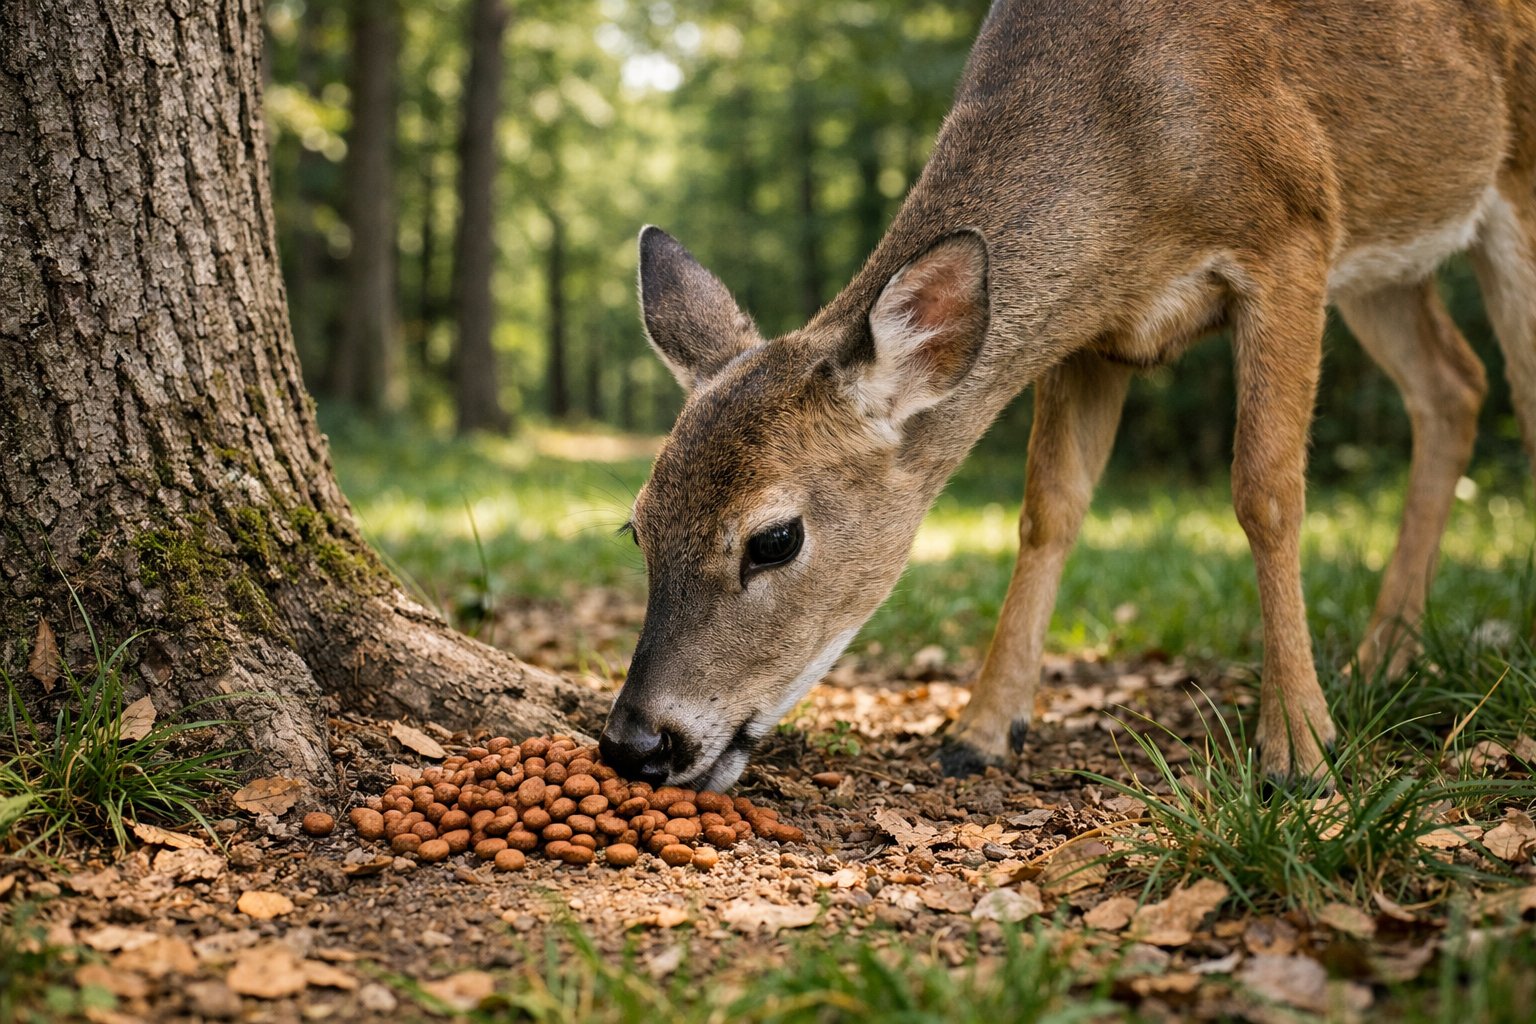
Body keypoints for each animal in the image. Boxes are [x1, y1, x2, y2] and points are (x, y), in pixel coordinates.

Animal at [597, 0, 1536, 793]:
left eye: (775, 539)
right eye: (636, 527)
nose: (635, 743)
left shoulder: (1294, 232)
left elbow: (1266, 493)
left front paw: (1300, 748)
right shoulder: (1096, 334)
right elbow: (1049, 507)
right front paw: (980, 731)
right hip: (1388, 251)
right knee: (1456, 383)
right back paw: (1383, 656)